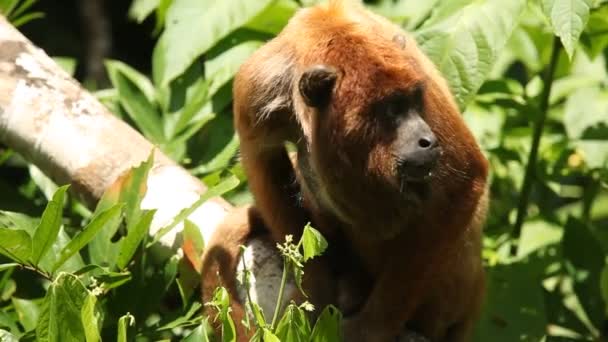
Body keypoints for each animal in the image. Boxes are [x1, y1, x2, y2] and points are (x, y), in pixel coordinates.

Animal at [200, 1, 490, 340]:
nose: (427, 140)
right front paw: (316, 285)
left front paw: (373, 327)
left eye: (413, 101)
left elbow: (463, 178)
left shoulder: (415, 70)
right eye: (391, 109)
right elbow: (261, 157)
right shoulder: (256, 84)